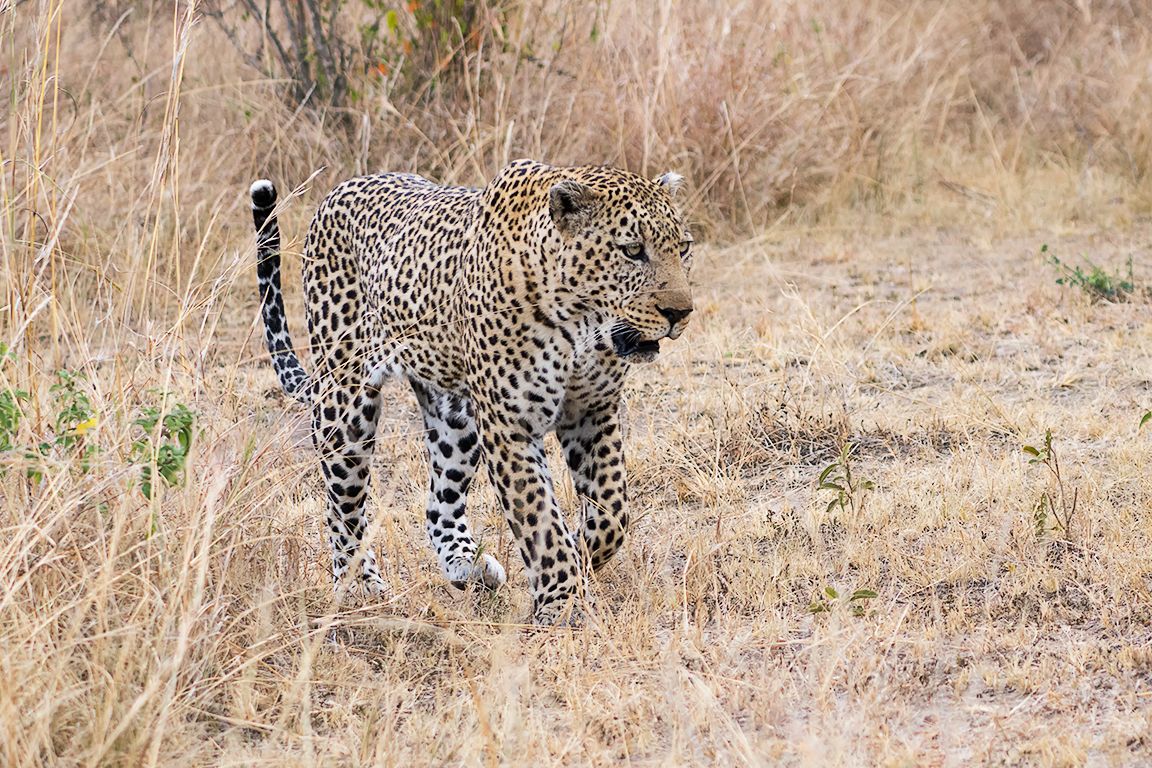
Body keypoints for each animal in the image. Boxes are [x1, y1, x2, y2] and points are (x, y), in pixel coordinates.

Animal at [249, 159, 694, 625]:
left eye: (683, 248)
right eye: (632, 250)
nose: (680, 313)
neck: (582, 325)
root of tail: (338, 190)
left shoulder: (592, 412)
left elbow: (612, 511)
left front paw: (579, 554)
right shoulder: (509, 425)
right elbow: (539, 518)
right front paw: (561, 603)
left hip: (455, 421)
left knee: (438, 502)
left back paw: (469, 565)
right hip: (346, 400)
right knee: (343, 502)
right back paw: (360, 586)